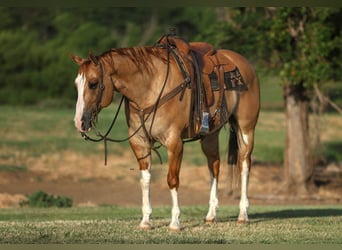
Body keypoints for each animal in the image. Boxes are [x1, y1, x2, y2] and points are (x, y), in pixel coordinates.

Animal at [71, 35, 260, 230]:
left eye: (93, 84)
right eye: (77, 84)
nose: (79, 122)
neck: (150, 87)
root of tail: (244, 64)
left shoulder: (174, 142)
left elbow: (172, 179)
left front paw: (175, 222)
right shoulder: (139, 142)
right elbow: (145, 180)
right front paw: (146, 220)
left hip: (246, 129)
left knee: (244, 166)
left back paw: (243, 214)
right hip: (210, 135)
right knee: (214, 166)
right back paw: (211, 214)